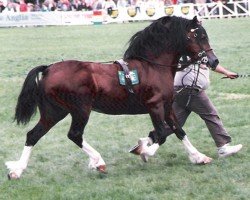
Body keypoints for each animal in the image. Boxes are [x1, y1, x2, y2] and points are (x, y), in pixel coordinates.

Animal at [4, 16, 218, 180]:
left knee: (33, 135)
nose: (214, 61)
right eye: (199, 36)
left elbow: (179, 130)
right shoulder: (155, 106)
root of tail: (48, 69)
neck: (153, 66)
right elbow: (162, 134)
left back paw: (16, 171)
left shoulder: (167, 107)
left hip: (54, 112)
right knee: (74, 135)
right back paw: (98, 162)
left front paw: (199, 157)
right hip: (80, 110)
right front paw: (144, 151)